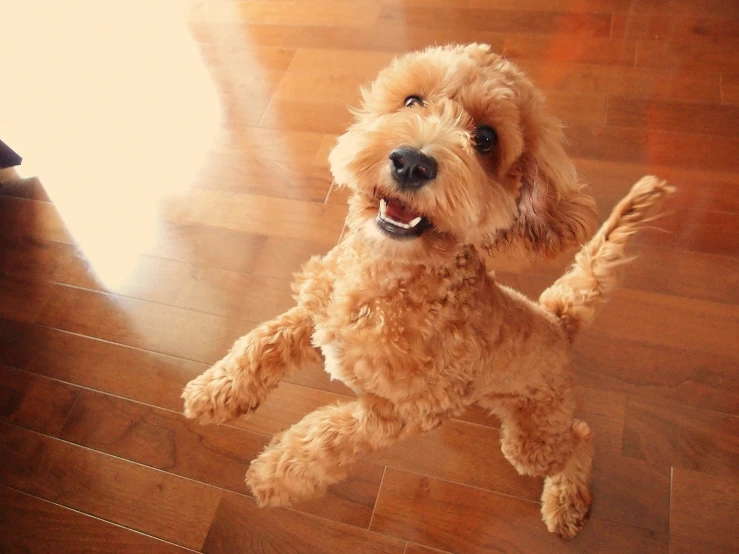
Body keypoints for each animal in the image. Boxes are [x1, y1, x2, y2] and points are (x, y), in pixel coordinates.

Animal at [182, 45, 672, 536]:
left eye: (486, 139)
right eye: (412, 101)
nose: (411, 162)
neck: (387, 283)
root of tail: (557, 318)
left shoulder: (409, 412)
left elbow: (331, 435)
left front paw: (277, 474)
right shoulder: (316, 311)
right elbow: (261, 341)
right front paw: (217, 392)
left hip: (532, 436)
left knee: (580, 438)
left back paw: (566, 501)